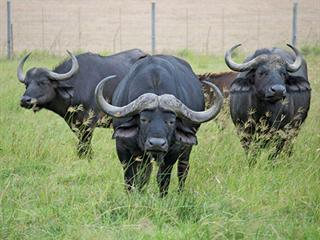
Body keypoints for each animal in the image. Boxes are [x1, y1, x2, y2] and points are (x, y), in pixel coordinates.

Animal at [18, 48, 146, 158]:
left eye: (43, 82)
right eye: (26, 84)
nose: (25, 100)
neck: (77, 85)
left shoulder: (89, 124)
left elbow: (85, 144)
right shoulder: (75, 124)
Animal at [95, 54, 222, 197]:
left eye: (171, 121)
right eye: (143, 119)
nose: (156, 144)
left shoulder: (173, 151)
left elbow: (163, 178)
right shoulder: (123, 148)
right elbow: (131, 177)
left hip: (187, 147)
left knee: (183, 169)